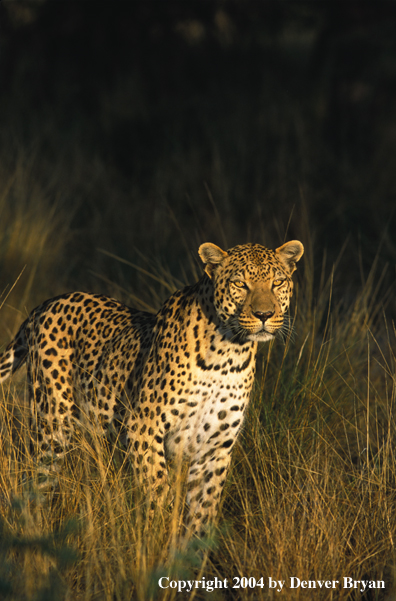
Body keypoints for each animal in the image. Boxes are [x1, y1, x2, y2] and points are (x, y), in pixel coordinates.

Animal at [0, 239, 304, 536]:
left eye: (277, 282)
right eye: (240, 284)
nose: (264, 314)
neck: (229, 354)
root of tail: (47, 304)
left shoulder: (215, 445)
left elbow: (203, 510)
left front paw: (190, 547)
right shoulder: (143, 427)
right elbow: (159, 490)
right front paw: (159, 537)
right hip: (52, 424)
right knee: (35, 481)